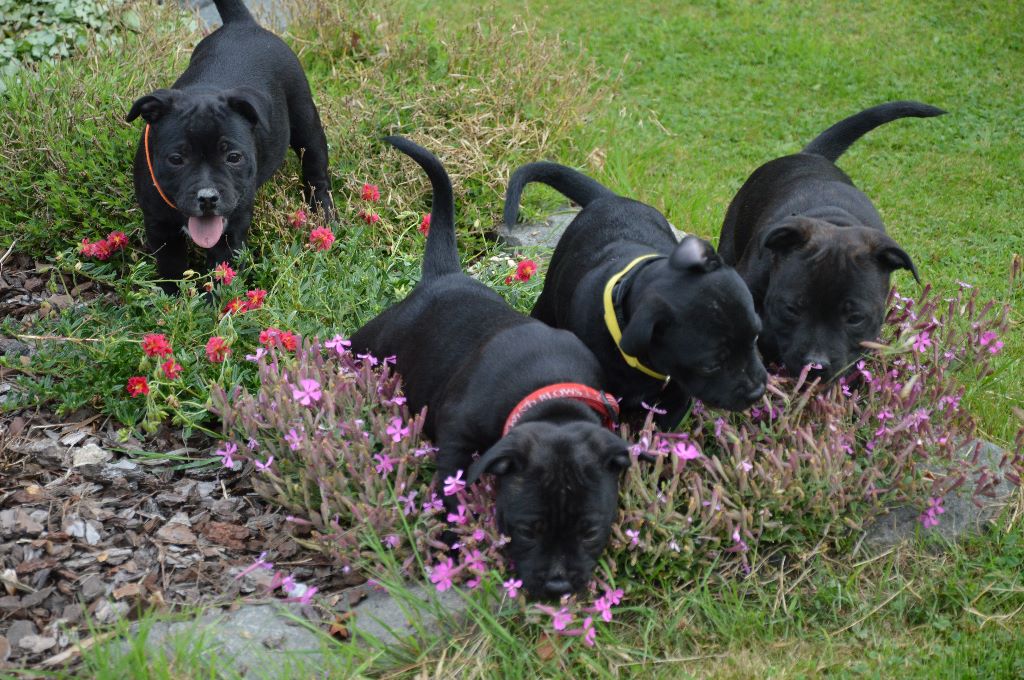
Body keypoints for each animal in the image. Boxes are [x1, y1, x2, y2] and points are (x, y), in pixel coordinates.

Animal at [352, 138, 626, 602]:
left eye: (591, 533)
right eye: (527, 530)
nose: (557, 586)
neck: (551, 398)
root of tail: (445, 275)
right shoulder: (457, 437)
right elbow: (452, 488)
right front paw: (454, 540)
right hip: (375, 338)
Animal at [499, 163, 765, 430]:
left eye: (756, 337)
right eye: (710, 365)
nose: (758, 391)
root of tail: (610, 198)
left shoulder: (677, 398)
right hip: (548, 299)